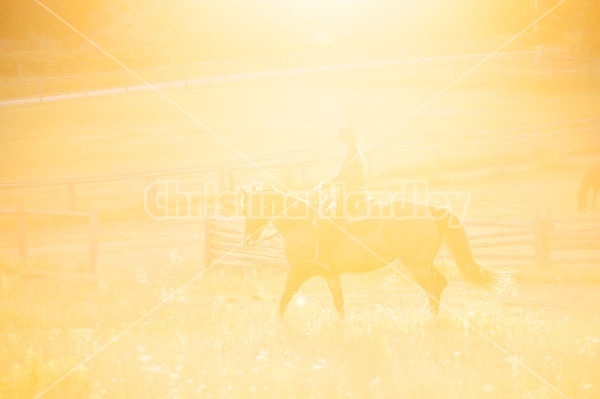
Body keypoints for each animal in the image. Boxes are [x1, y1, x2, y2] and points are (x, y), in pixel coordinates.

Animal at [239, 188, 506, 318]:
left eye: (250, 209)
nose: (248, 238)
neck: (301, 225)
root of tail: (430, 209)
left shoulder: (297, 272)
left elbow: (285, 299)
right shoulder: (331, 275)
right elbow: (339, 303)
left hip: (417, 265)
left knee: (433, 287)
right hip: (423, 263)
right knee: (439, 284)